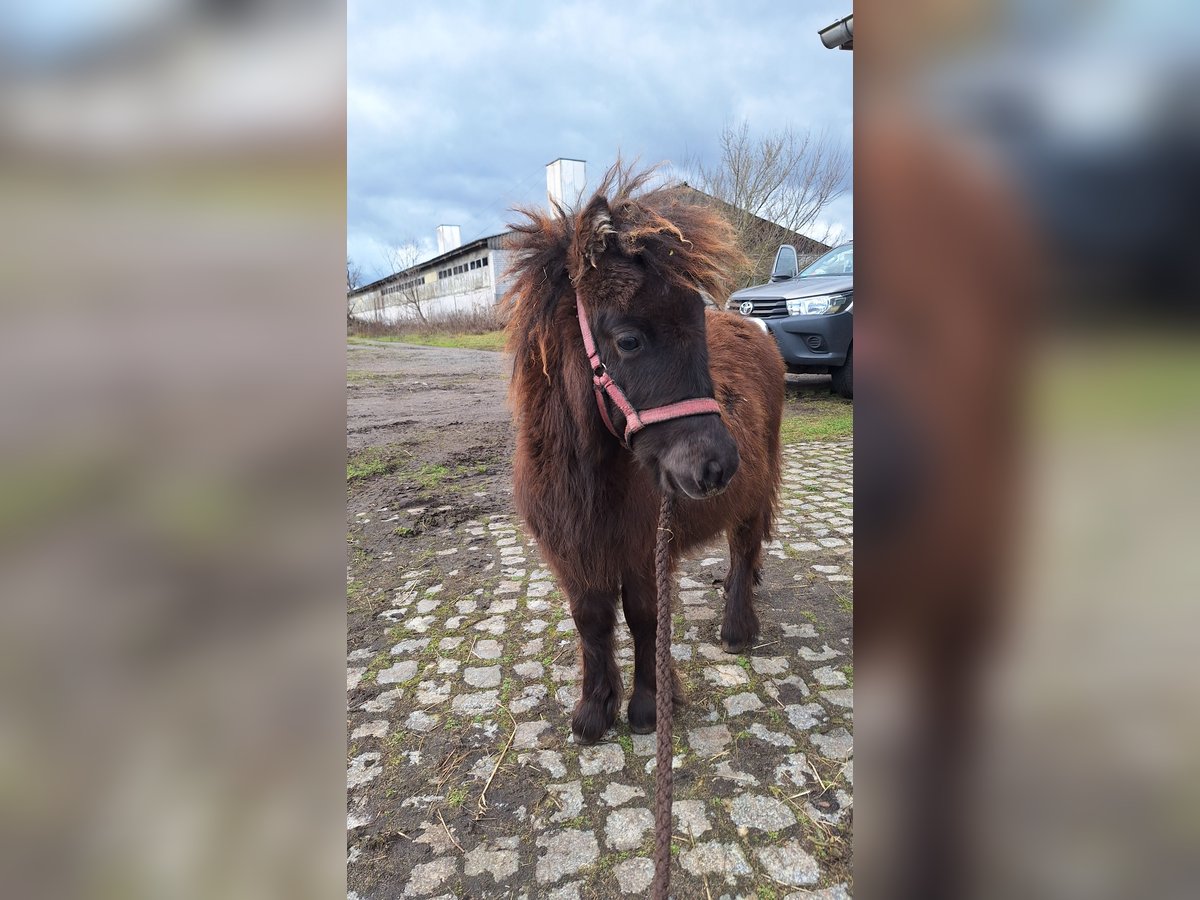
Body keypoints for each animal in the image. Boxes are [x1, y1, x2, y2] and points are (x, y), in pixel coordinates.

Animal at [501, 165, 782, 744]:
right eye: (628, 340)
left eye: (699, 325)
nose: (717, 466)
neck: (589, 477)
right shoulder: (574, 556)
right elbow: (592, 622)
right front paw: (593, 710)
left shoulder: (643, 552)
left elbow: (644, 619)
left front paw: (650, 706)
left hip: (754, 494)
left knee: (744, 546)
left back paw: (737, 628)